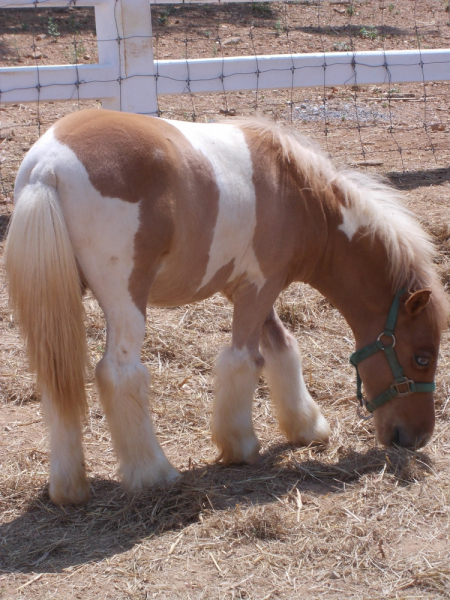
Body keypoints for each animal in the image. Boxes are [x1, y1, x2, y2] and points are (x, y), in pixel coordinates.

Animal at [4, 110, 450, 504]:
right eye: (423, 357)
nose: (417, 438)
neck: (298, 195)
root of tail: (49, 165)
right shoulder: (258, 289)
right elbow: (243, 360)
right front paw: (240, 445)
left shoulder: (251, 291)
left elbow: (282, 347)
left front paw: (305, 425)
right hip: (126, 302)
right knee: (119, 374)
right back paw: (153, 473)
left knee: (58, 382)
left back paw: (68, 488)